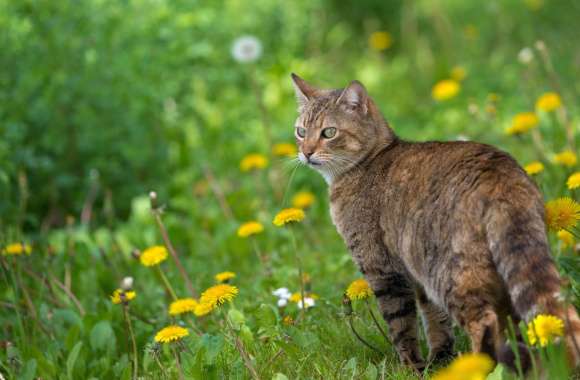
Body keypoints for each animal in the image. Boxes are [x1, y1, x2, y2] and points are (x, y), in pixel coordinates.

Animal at [290, 73, 580, 372]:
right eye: (301, 131)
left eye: (329, 132)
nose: (306, 152)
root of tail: (502, 177)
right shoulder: (418, 280)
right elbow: (436, 322)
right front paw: (439, 360)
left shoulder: (383, 270)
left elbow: (401, 326)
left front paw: (411, 367)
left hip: (449, 274)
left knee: (484, 323)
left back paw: (479, 367)